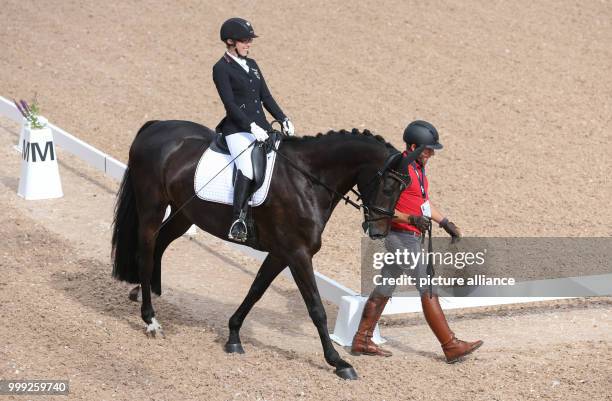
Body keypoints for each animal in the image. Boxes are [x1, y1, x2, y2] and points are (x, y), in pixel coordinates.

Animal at [111, 119, 426, 378]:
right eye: (389, 186)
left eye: (403, 188)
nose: (378, 231)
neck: (308, 180)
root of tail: (156, 126)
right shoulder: (298, 254)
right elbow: (316, 309)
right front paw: (339, 362)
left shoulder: (280, 253)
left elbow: (256, 291)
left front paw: (234, 336)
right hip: (151, 207)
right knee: (146, 252)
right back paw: (151, 320)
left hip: (184, 213)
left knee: (161, 244)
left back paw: (145, 291)